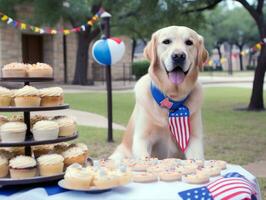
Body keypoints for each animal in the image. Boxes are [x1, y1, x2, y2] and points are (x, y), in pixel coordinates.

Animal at [109, 26, 208, 161]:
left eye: (189, 42)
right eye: (166, 41)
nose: (178, 56)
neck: (171, 99)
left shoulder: (194, 138)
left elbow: (196, 157)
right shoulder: (142, 138)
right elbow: (144, 155)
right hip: (119, 154)